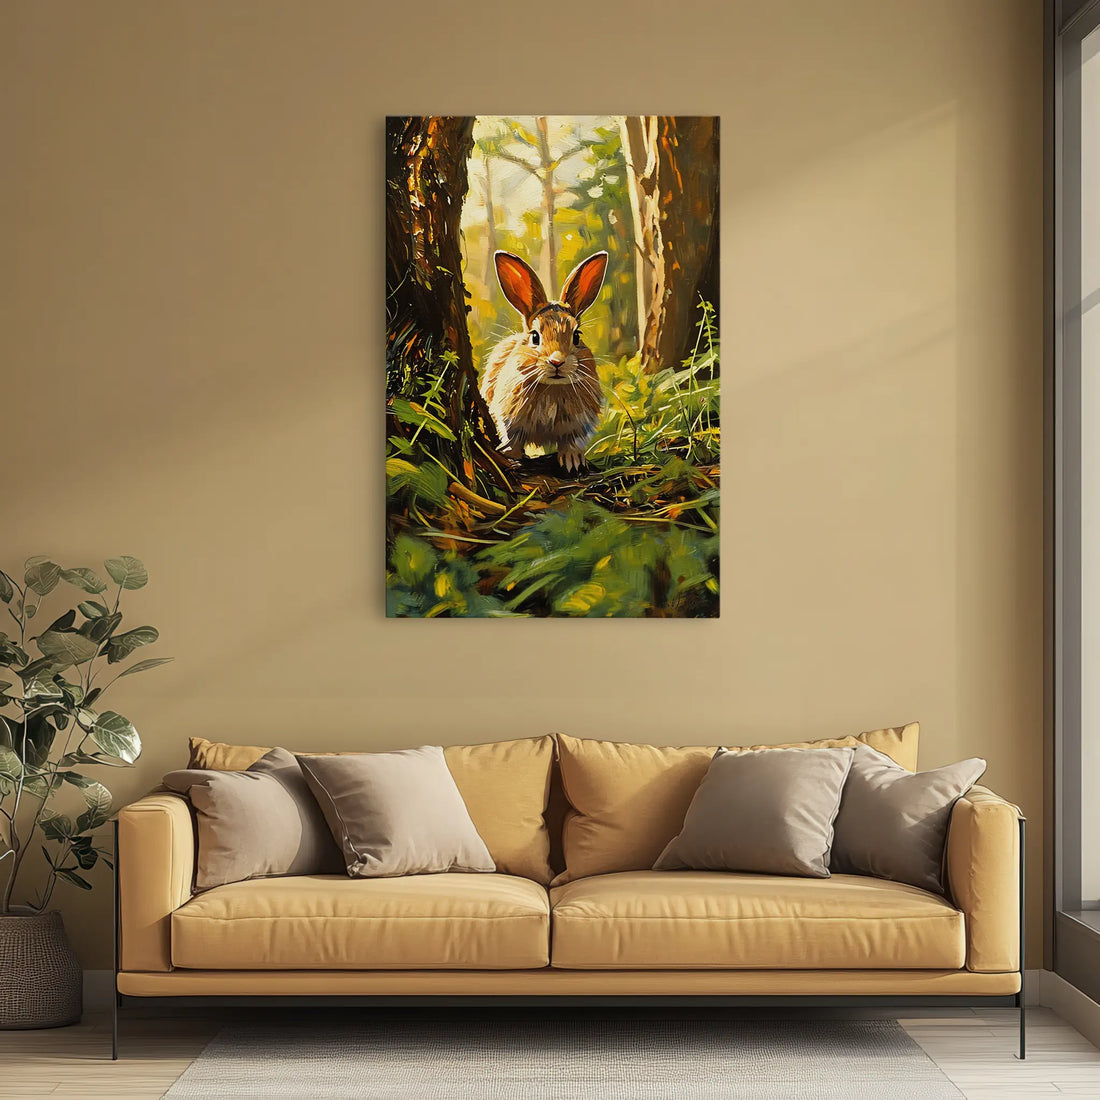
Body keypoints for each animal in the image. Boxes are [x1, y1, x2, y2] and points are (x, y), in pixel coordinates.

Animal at [480, 249, 608, 472]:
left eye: (577, 336)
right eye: (534, 336)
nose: (557, 361)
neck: (552, 388)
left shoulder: (579, 425)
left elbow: (572, 442)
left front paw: (572, 461)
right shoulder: (509, 420)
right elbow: (512, 439)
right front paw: (511, 456)